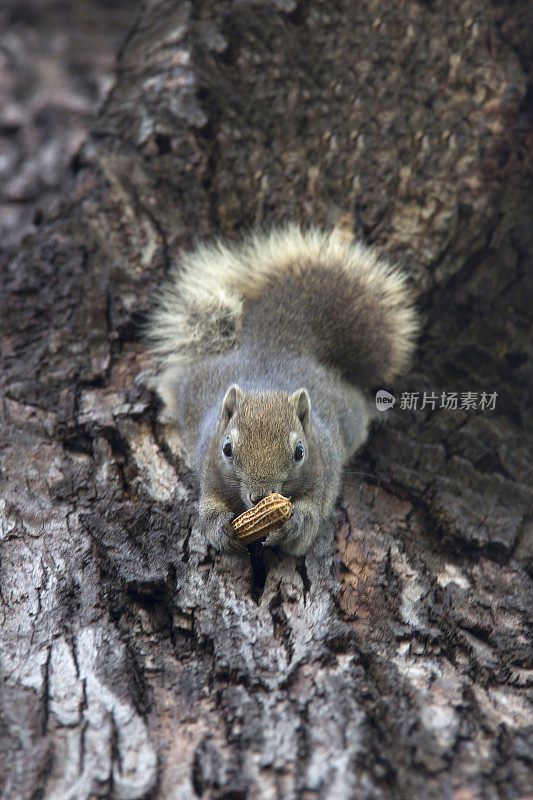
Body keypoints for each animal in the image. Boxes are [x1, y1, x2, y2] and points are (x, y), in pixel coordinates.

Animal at [148, 222, 418, 552]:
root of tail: (278, 339)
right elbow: (210, 506)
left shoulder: (322, 471)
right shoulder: (209, 465)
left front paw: (294, 525)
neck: (267, 386)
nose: (259, 497)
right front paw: (219, 526)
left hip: (348, 410)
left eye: (300, 452)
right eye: (226, 449)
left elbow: (311, 516)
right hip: (194, 383)